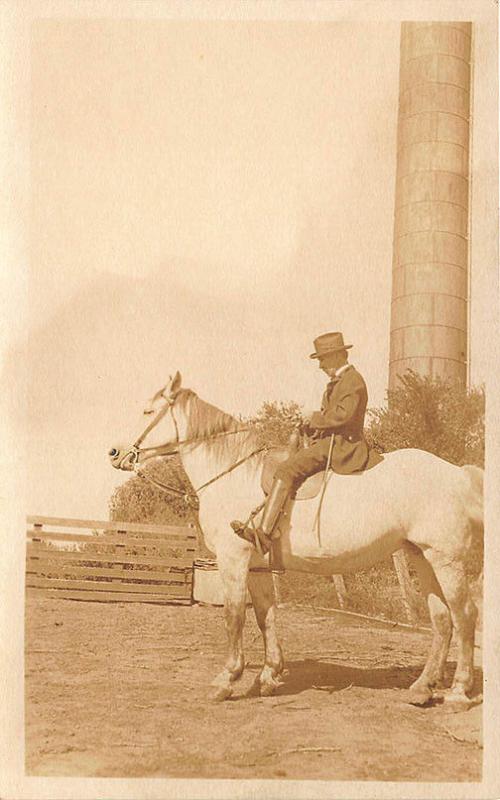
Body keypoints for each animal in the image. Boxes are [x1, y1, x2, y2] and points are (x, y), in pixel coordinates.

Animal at [110, 372, 484, 704]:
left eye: (148, 411)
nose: (114, 452)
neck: (233, 473)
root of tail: (457, 473)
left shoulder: (233, 560)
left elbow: (234, 617)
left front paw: (227, 679)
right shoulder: (258, 567)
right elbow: (266, 616)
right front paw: (268, 676)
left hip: (445, 560)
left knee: (465, 615)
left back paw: (458, 691)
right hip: (422, 556)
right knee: (442, 619)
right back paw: (422, 688)